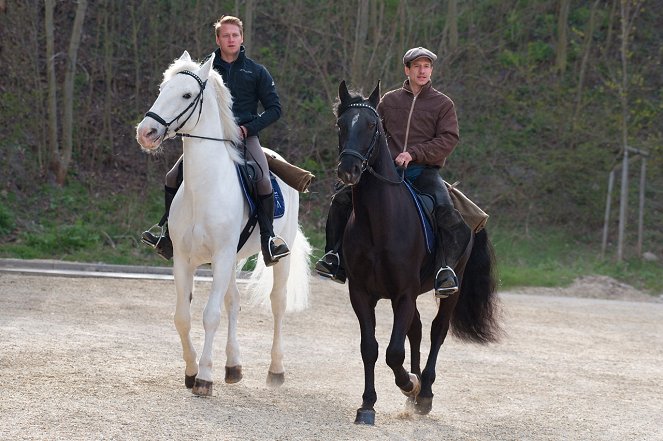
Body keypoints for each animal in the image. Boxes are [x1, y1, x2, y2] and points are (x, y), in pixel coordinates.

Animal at [137, 51, 312, 396]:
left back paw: (276, 370)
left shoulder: (219, 256)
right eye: (162, 89)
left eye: (187, 95)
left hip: (273, 257)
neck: (205, 187)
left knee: (277, 304)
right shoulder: (183, 259)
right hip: (231, 259)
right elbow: (182, 317)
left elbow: (210, 315)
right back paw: (233, 367)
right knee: (234, 302)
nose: (145, 132)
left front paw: (204, 378)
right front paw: (191, 371)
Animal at [334, 81, 500, 424]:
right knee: (418, 329)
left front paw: (410, 384)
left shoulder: (404, 294)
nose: (349, 169)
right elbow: (370, 348)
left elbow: (393, 351)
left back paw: (424, 393)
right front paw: (367, 405)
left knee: (437, 331)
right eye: (341, 125)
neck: (379, 222)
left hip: (451, 287)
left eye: (371, 126)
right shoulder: (361, 293)